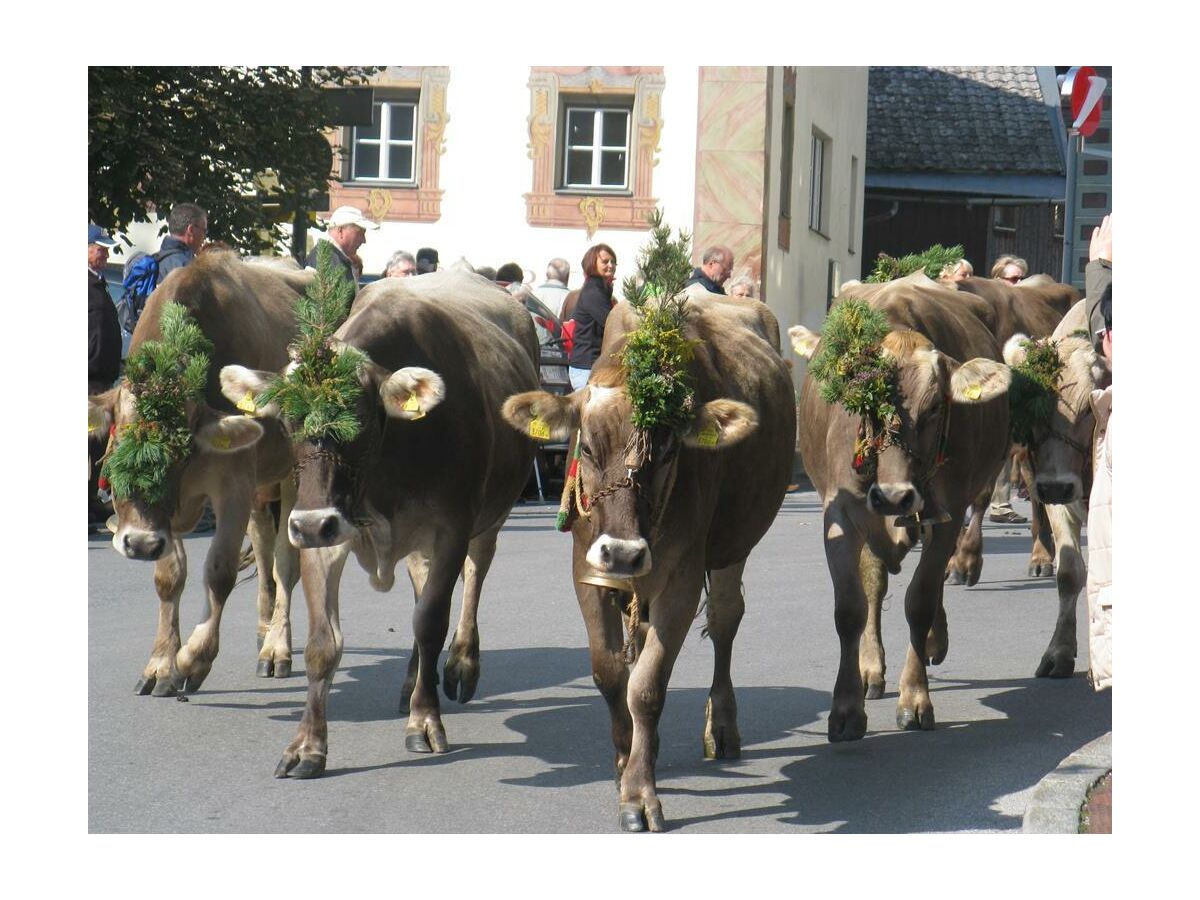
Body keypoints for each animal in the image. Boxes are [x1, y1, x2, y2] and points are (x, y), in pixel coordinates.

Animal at [86, 252, 307, 696]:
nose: (138, 543)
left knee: (284, 562)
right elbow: (169, 578)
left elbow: (219, 573)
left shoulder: (233, 484)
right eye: (118, 445)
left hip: (291, 473)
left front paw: (193, 660)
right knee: (264, 548)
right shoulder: (169, 516)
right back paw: (263, 632)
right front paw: (160, 666)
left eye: (181, 449)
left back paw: (277, 647)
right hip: (262, 488)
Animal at [223, 270, 542, 782]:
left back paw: (460, 666)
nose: (309, 524)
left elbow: (431, 622)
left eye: (357, 419)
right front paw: (307, 745)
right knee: (420, 588)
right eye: (288, 420)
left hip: (492, 516)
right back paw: (412, 682)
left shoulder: (451, 528)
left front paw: (425, 721)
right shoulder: (325, 531)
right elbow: (323, 643)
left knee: (473, 580)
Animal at [499, 294, 796, 830]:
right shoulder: (589, 573)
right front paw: (624, 759)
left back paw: (721, 726)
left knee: (725, 620)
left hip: (733, 547)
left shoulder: (679, 581)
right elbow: (610, 673)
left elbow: (647, 687)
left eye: (668, 449)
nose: (623, 551)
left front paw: (639, 793)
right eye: (586, 447)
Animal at [796, 285, 1012, 744]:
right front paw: (846, 708)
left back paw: (933, 640)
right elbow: (851, 608)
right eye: (869, 405)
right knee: (874, 588)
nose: (895, 498)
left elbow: (921, 600)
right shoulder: (841, 513)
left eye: (933, 409)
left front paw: (914, 698)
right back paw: (871, 668)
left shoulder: (947, 513)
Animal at [998, 301, 1108, 676]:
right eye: (1030, 410)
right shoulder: (1055, 502)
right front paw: (1059, 651)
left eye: (1088, 408)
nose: (1057, 486)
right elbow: (1071, 573)